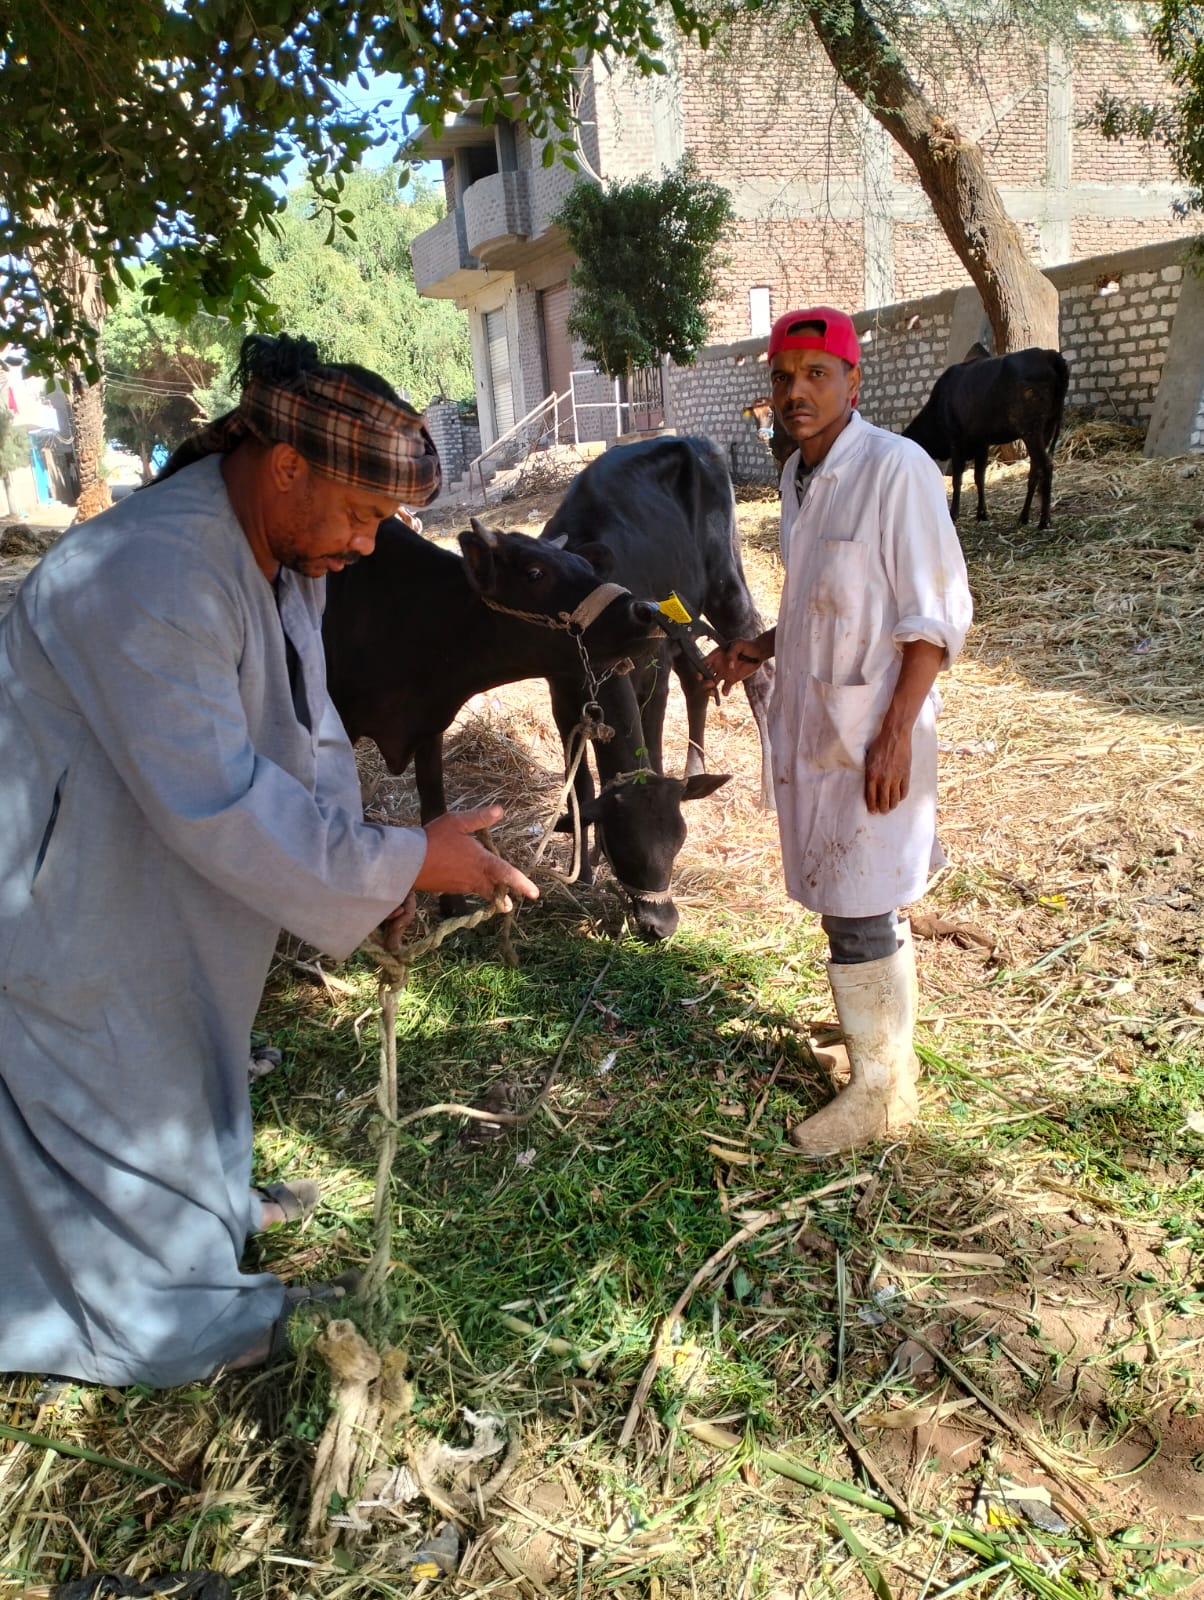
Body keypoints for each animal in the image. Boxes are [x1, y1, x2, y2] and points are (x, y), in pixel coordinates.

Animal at [541, 432, 774, 940]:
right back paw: (695, 769)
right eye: (619, 846)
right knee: (700, 681)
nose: (661, 924)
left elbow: (651, 737)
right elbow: (580, 785)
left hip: (726, 581)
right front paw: (581, 875)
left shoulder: (654, 666)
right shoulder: (561, 695)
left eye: (678, 841)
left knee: (757, 675)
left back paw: (769, 790)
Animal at [903, 347, 1069, 528]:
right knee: (1035, 469)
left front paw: (954, 514)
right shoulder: (982, 443)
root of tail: (1048, 354)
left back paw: (1044, 521)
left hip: (1032, 430)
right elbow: (979, 477)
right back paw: (1023, 517)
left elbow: (957, 479)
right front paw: (982, 513)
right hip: (1046, 428)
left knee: (1046, 465)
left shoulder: (956, 440)